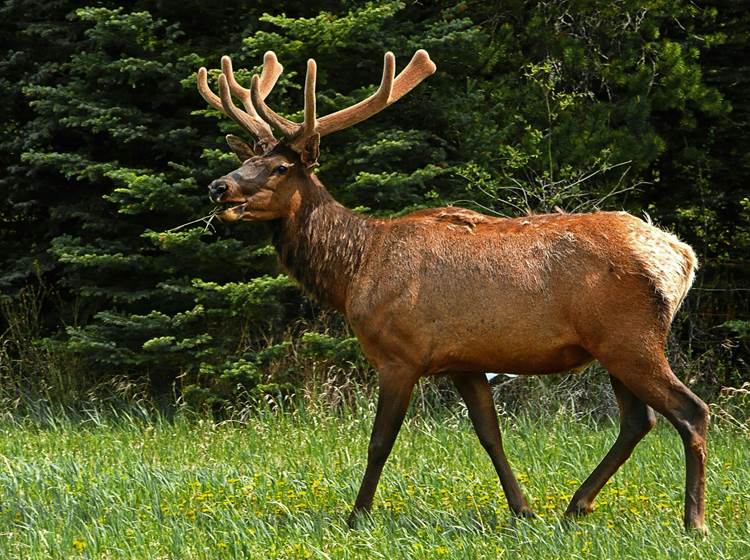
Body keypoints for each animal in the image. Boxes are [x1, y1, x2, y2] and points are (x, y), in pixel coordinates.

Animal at [195, 49, 712, 532]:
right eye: (245, 160)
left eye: (280, 167)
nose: (218, 187)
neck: (354, 271)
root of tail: (682, 258)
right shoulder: (464, 361)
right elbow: (490, 434)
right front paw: (523, 510)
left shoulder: (400, 355)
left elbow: (380, 441)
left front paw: (356, 516)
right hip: (611, 346)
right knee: (638, 420)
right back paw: (576, 505)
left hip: (631, 338)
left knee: (690, 410)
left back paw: (694, 521)